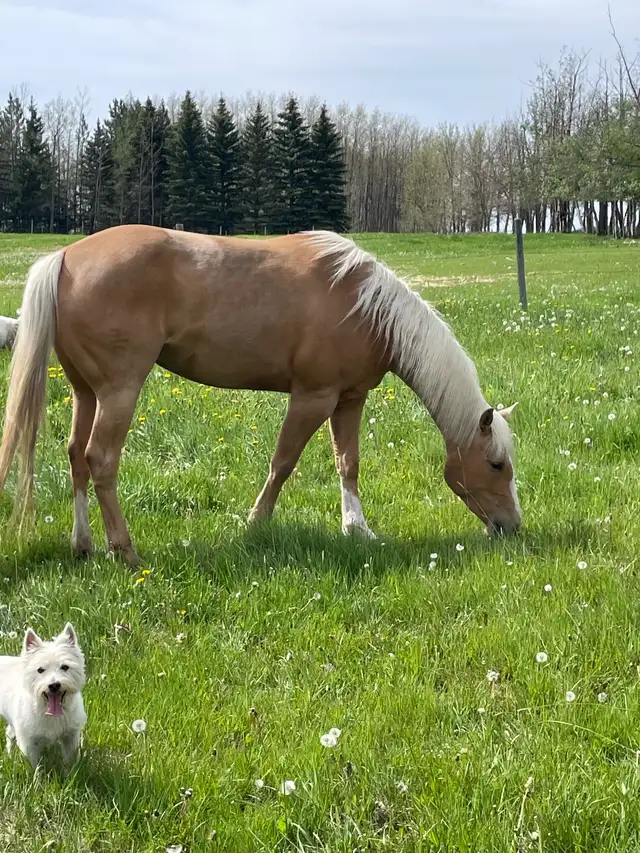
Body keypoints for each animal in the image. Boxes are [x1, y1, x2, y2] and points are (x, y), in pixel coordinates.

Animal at [0, 225, 521, 566]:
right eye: (496, 464)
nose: (512, 527)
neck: (363, 304)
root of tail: (65, 257)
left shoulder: (349, 400)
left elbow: (347, 464)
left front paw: (357, 528)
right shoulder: (313, 398)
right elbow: (283, 463)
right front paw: (256, 523)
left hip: (85, 392)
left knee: (76, 456)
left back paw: (84, 545)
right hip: (119, 391)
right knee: (101, 459)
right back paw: (124, 550)